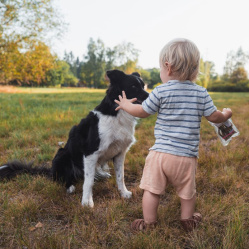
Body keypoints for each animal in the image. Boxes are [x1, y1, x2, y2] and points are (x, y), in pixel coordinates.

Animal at [0, 70, 148, 208]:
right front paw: (87, 202)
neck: (117, 112)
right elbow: (88, 182)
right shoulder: (91, 153)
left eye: (143, 86)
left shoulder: (120, 153)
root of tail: (51, 171)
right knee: (63, 178)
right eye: (133, 86)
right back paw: (70, 186)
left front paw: (123, 193)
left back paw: (101, 174)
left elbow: (120, 176)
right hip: (62, 154)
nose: (149, 96)